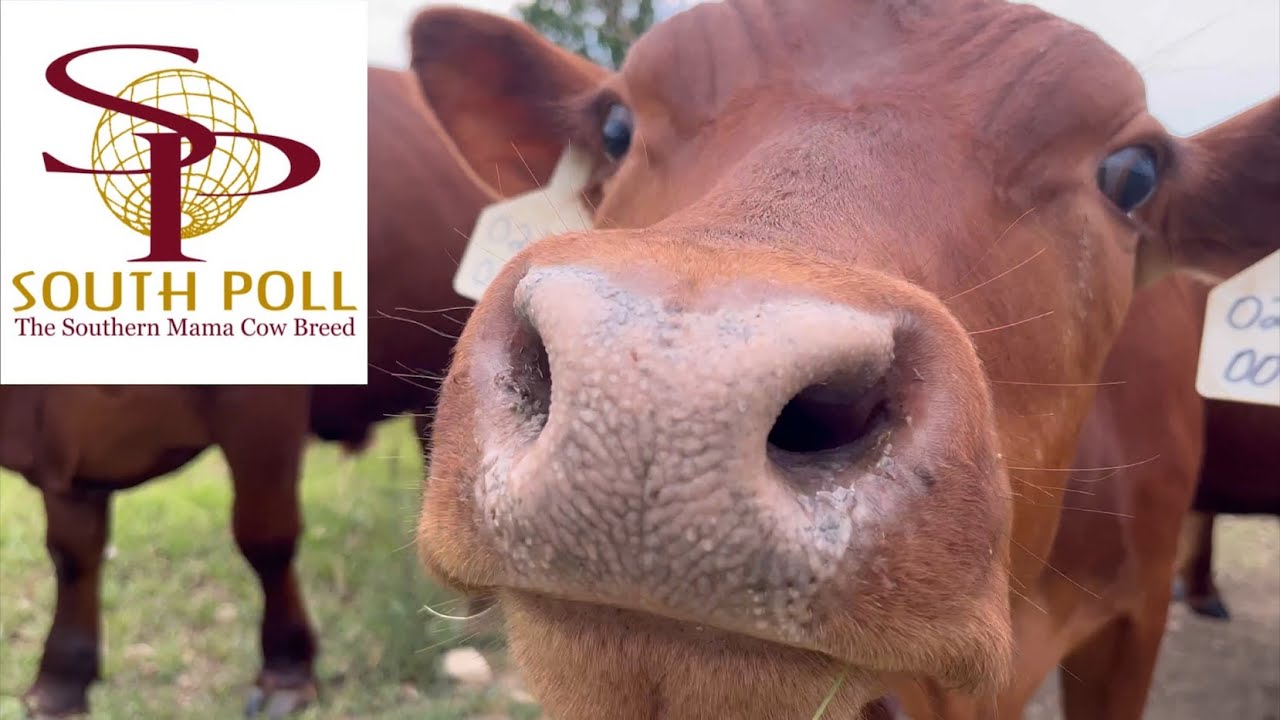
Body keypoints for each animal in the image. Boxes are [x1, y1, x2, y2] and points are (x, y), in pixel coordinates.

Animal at [0, 66, 493, 718]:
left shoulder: (261, 400)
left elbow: (265, 534)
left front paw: (286, 670)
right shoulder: (61, 437)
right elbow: (73, 553)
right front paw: (61, 680)